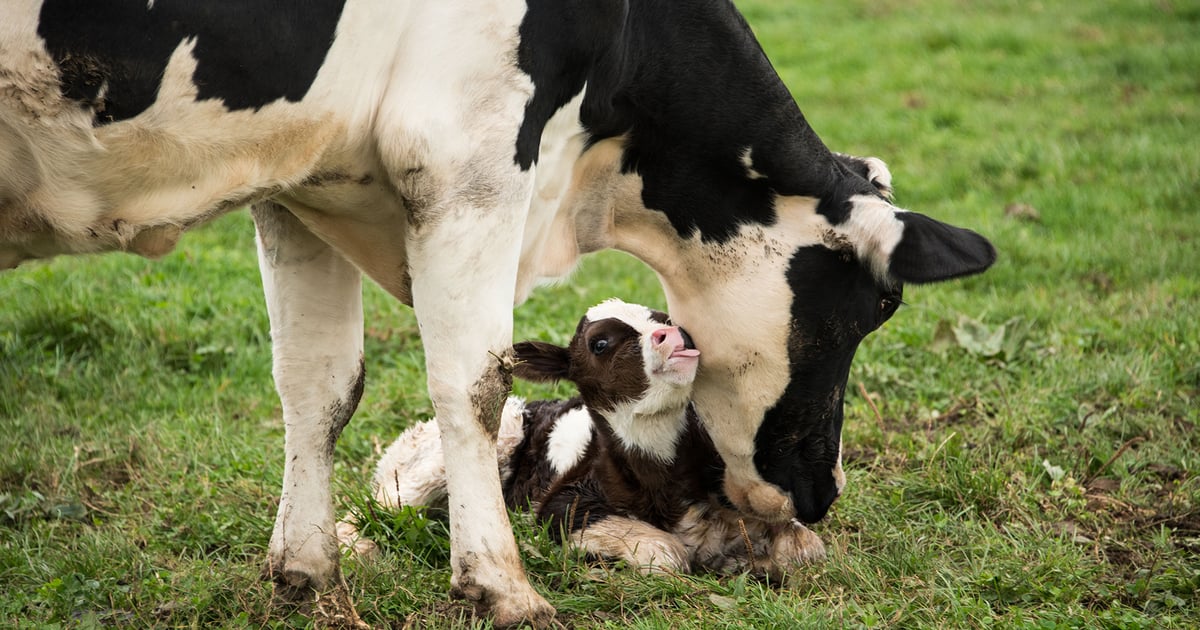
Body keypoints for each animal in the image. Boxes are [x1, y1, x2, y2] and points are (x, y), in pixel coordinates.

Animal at [347, 299, 826, 580]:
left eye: (665, 319)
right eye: (599, 343)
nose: (674, 335)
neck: (664, 482)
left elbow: (806, 545)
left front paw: (752, 558)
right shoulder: (559, 506)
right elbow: (666, 553)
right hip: (460, 453)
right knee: (374, 508)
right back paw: (359, 550)